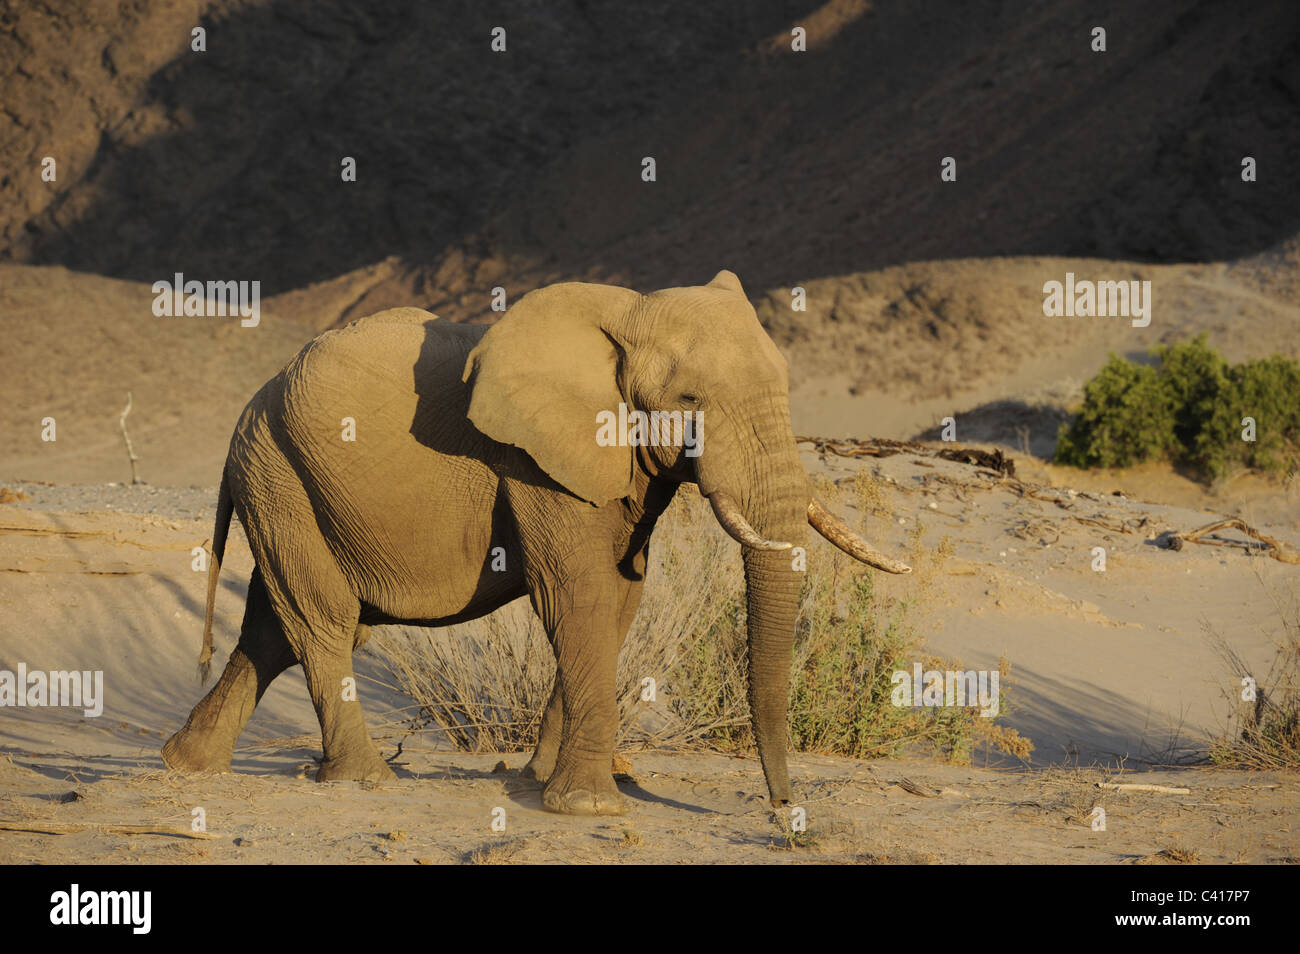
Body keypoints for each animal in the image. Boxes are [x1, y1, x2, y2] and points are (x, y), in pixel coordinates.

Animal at [162, 269, 909, 816]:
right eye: (690, 400)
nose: (783, 811)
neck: (625, 316)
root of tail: (253, 406)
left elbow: (620, 600)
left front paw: (541, 783)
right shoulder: (533, 460)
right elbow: (579, 596)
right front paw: (589, 808)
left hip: (279, 480)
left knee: (272, 627)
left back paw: (187, 763)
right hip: (278, 474)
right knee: (323, 621)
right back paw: (363, 780)